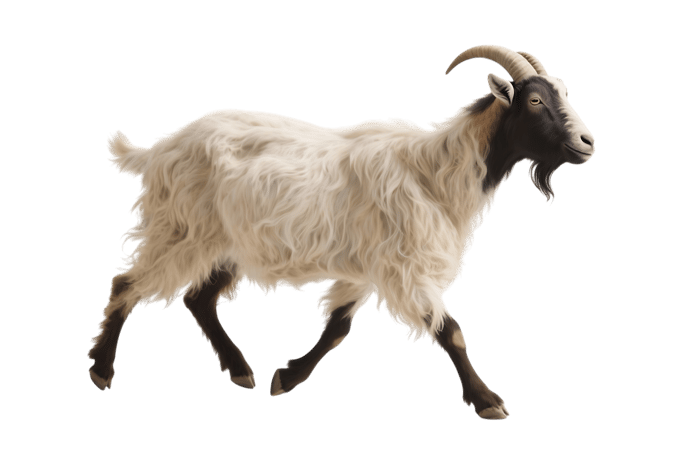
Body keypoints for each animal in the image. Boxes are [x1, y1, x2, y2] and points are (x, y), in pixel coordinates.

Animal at [88, 44, 596, 420]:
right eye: (535, 100)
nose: (587, 143)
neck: (435, 175)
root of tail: (158, 150)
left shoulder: (364, 268)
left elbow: (336, 328)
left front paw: (287, 378)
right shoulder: (403, 267)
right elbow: (450, 332)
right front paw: (488, 401)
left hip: (223, 243)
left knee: (198, 298)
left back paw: (239, 370)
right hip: (182, 232)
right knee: (127, 284)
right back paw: (101, 372)